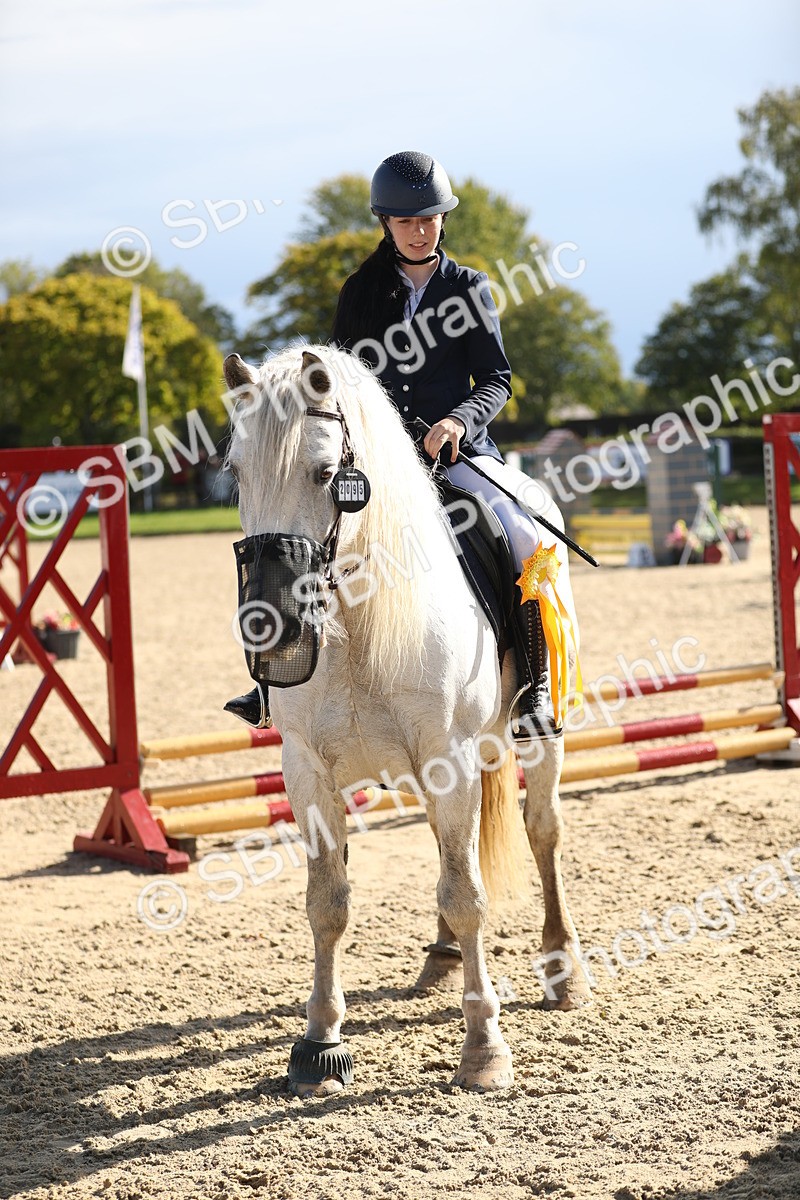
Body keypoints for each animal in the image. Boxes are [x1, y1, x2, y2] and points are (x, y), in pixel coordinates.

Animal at [223, 343, 591, 1095]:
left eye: (325, 472)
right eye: (236, 472)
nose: (272, 626)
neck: (357, 624)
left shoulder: (449, 759)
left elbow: (468, 893)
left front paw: (484, 1048)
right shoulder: (307, 770)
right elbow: (327, 902)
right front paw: (319, 1042)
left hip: (538, 737)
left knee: (542, 831)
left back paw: (563, 967)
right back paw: (442, 959)